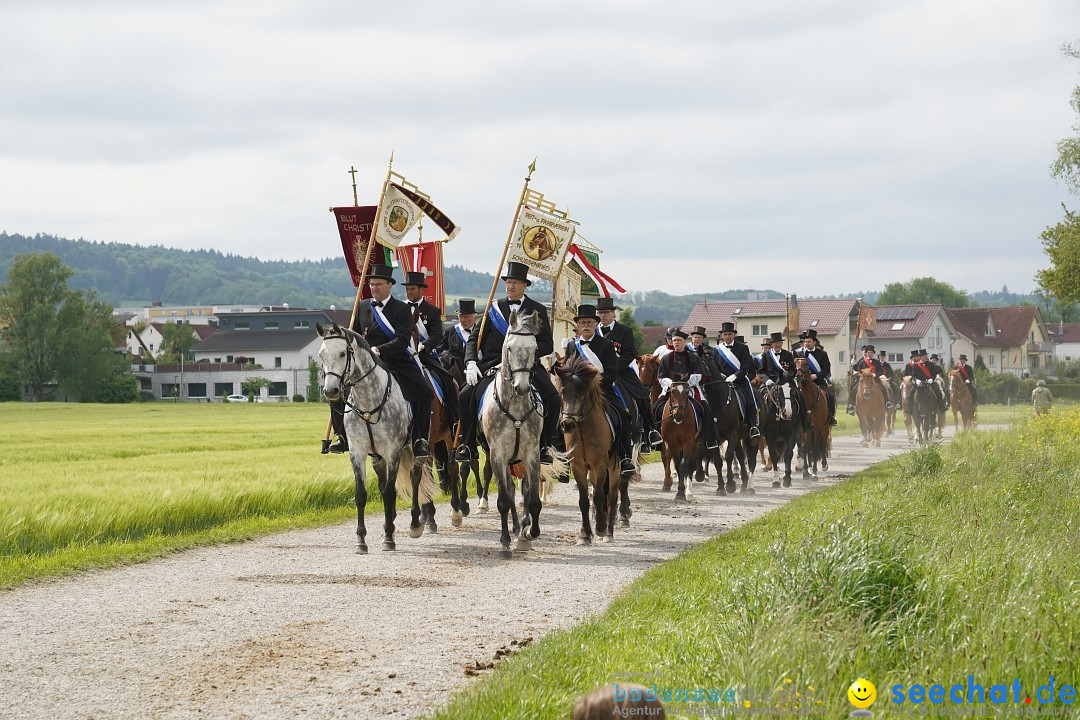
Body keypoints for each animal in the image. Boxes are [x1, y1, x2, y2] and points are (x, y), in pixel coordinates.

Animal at [315, 323, 436, 557]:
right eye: (321, 354)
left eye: (342, 353)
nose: (331, 391)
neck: (367, 402)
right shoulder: (358, 453)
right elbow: (362, 494)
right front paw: (361, 540)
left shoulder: (392, 452)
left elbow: (389, 493)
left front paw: (389, 538)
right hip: (377, 456)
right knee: (383, 482)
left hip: (416, 447)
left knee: (415, 477)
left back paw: (415, 523)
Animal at [479, 310, 570, 557]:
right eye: (510, 348)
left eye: (535, 348)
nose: (522, 387)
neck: (516, 407)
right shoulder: (498, 456)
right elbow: (503, 499)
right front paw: (504, 542)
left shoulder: (531, 455)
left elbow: (533, 499)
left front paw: (530, 533)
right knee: (510, 492)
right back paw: (514, 528)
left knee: (525, 489)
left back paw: (522, 528)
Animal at [552, 354, 622, 546]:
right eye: (562, 393)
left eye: (582, 394)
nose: (568, 424)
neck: (583, 431)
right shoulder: (578, 466)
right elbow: (584, 500)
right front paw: (584, 534)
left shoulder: (600, 465)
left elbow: (598, 496)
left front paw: (600, 527)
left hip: (614, 467)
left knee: (612, 497)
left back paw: (609, 532)